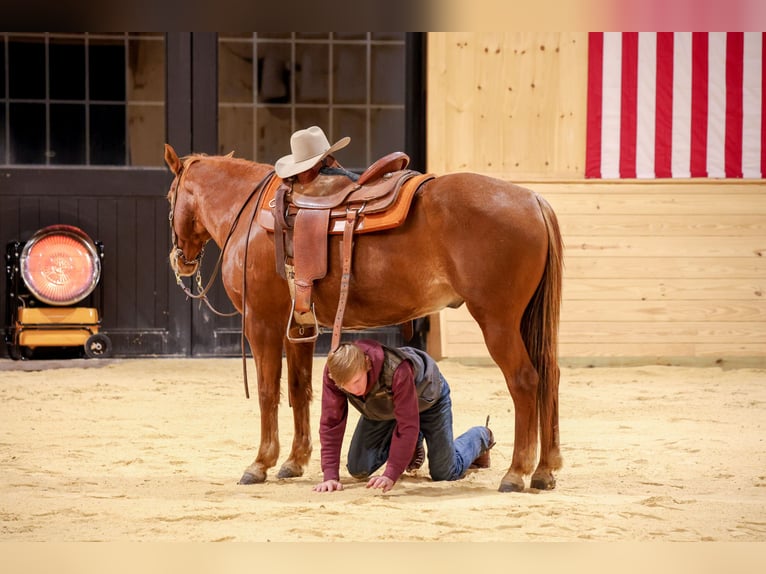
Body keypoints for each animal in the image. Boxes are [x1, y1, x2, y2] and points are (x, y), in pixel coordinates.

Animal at [163, 143, 563, 492]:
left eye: (169, 197)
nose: (180, 261)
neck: (251, 217)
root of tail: (533, 200)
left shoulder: (262, 323)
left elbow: (267, 391)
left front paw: (260, 463)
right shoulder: (301, 325)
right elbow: (299, 389)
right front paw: (294, 462)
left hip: (498, 322)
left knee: (525, 381)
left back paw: (516, 472)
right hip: (523, 323)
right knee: (549, 378)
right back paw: (544, 470)